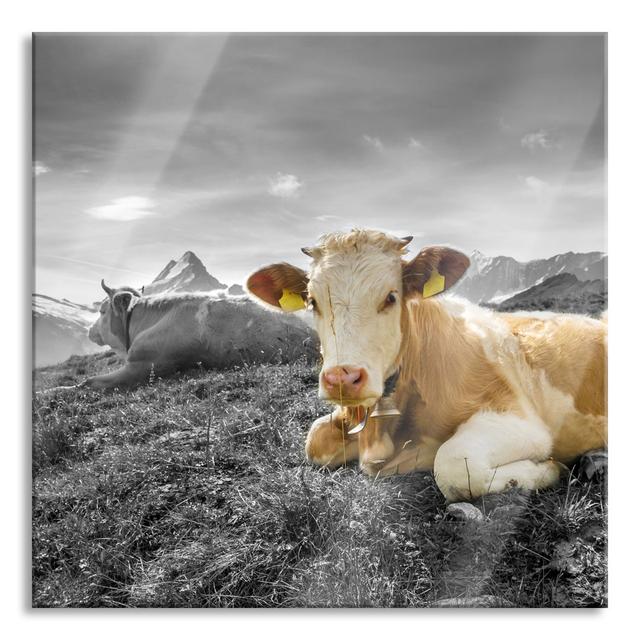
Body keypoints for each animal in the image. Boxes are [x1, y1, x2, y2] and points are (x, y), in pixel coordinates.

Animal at [248, 228, 608, 502]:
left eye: (391, 297)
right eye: (312, 301)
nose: (342, 378)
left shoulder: (520, 418)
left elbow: (453, 465)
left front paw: (549, 468)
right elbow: (314, 439)